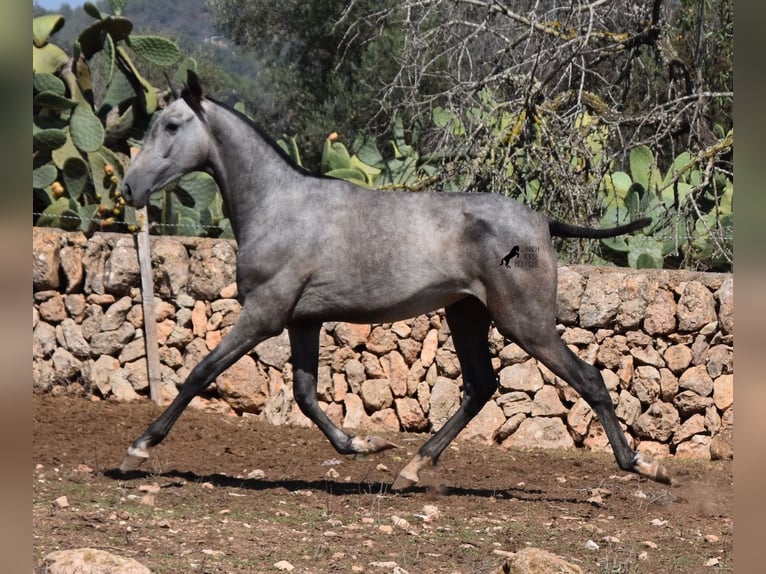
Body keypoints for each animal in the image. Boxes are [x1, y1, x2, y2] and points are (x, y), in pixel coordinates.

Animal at [121, 70, 672, 488]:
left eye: (171, 125)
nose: (129, 186)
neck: (280, 207)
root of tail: (541, 220)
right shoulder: (303, 320)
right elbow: (304, 393)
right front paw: (364, 442)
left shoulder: (264, 313)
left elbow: (201, 371)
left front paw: (138, 448)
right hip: (466, 313)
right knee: (481, 386)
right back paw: (413, 467)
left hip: (524, 321)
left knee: (587, 378)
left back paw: (643, 465)